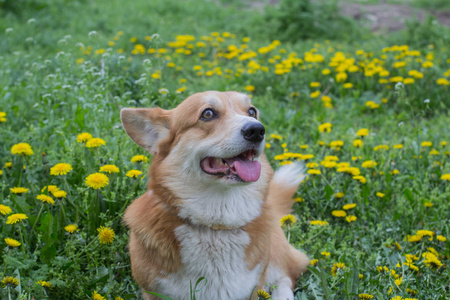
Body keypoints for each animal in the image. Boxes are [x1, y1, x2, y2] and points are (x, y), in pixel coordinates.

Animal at [119, 90, 310, 298]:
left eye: (252, 111)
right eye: (208, 114)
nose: (257, 130)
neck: (215, 228)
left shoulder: (253, 288)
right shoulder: (152, 292)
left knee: (287, 275)